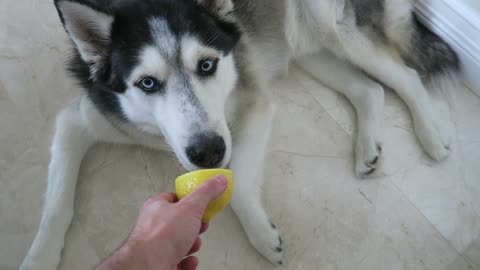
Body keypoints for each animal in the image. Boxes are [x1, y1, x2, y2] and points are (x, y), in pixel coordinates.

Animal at [20, 0, 460, 266]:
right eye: (147, 84)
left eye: (207, 65)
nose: (208, 152)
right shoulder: (83, 120)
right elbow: (57, 203)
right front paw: (40, 255)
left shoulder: (254, 106)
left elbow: (241, 184)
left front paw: (261, 233)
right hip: (307, 47)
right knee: (368, 89)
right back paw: (368, 146)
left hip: (333, 31)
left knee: (405, 77)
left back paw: (430, 134)